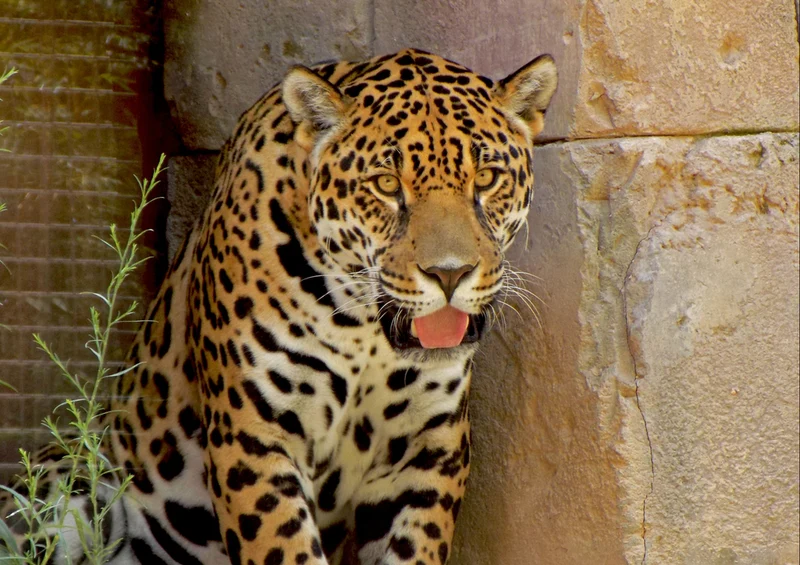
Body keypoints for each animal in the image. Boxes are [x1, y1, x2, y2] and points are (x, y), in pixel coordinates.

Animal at [1, 48, 557, 564]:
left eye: (486, 179)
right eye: (385, 185)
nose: (449, 274)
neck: (365, 332)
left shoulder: (427, 452)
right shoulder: (255, 438)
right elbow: (285, 548)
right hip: (66, 483)